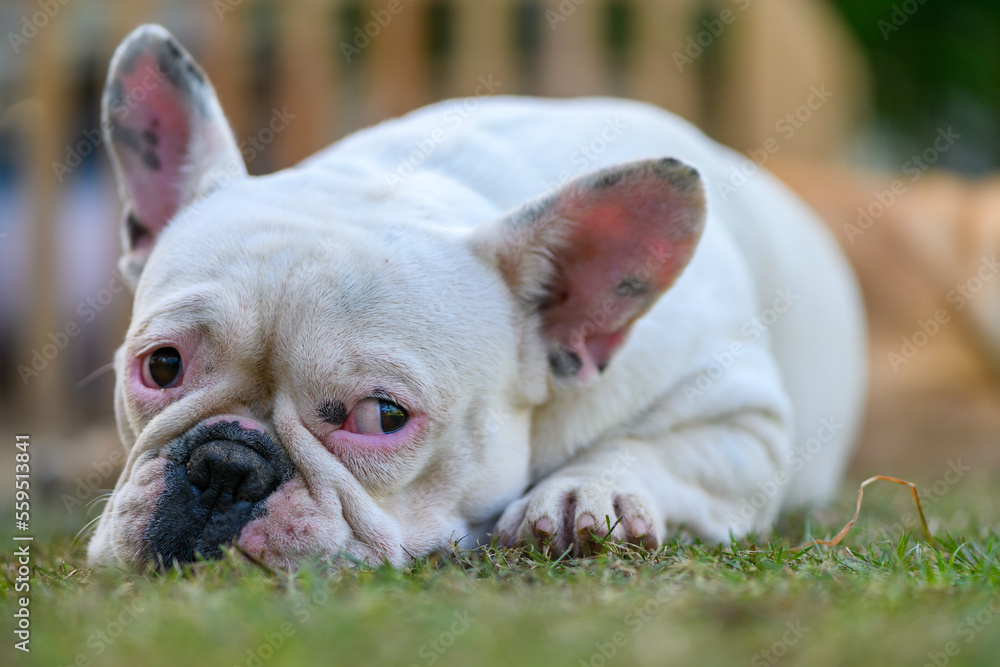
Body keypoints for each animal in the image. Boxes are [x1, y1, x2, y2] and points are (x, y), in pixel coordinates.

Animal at [86, 26, 868, 568]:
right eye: (161, 366)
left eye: (381, 416)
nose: (225, 465)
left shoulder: (746, 420)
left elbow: (652, 446)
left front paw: (588, 491)